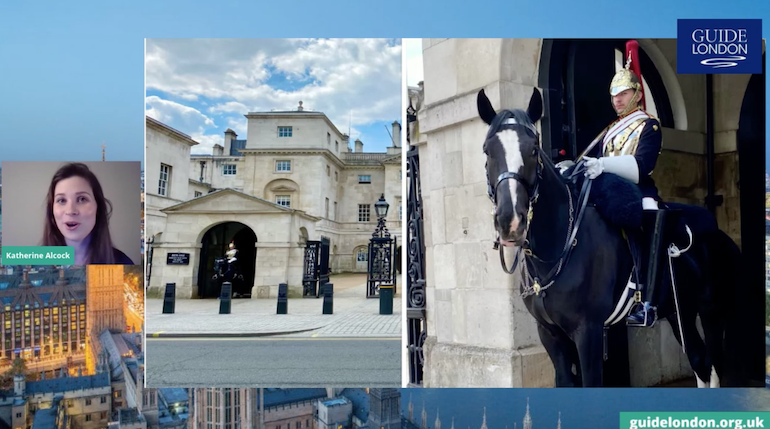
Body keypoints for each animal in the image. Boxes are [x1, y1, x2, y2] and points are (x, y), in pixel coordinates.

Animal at [476, 88, 752, 388]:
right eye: (487, 150)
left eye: (533, 149)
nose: (510, 222)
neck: (557, 249)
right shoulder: (550, 334)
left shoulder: (588, 332)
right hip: (681, 313)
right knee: (701, 362)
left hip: (711, 312)